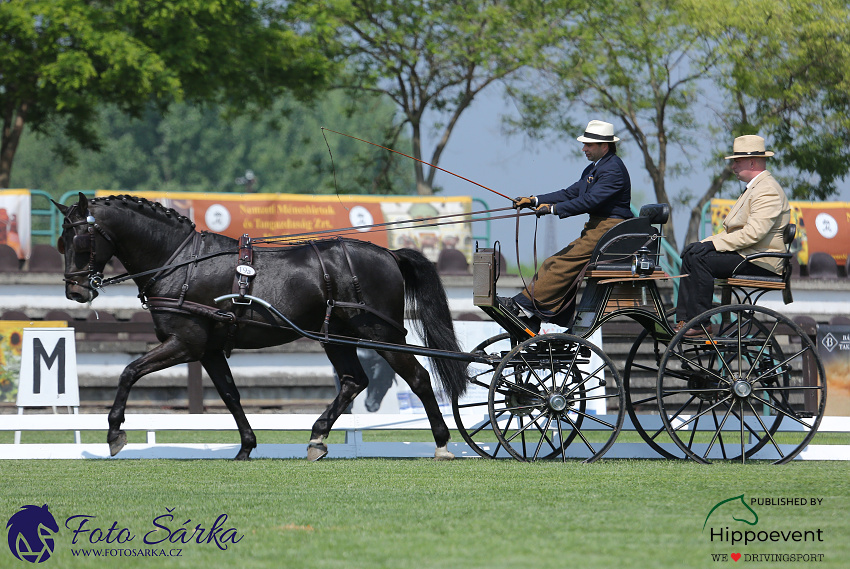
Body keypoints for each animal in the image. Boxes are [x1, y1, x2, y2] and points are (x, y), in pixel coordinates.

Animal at [56, 193, 468, 460]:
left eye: (80, 240)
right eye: (61, 242)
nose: (75, 291)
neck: (180, 262)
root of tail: (389, 253)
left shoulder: (186, 342)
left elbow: (129, 371)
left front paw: (114, 431)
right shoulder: (209, 350)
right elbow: (230, 395)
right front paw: (246, 446)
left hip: (382, 334)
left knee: (418, 378)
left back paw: (442, 443)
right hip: (335, 337)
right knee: (354, 381)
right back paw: (317, 439)